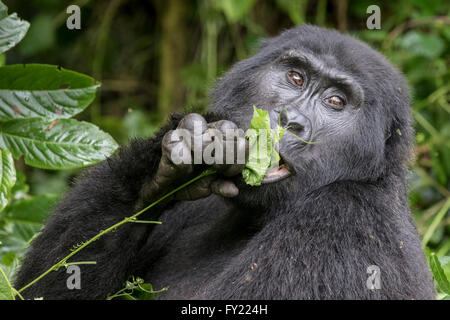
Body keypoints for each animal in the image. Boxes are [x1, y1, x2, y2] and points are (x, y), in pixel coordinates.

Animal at [14, 25, 436, 300]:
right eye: (296, 78)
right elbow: (39, 290)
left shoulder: (347, 218)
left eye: (336, 102)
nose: (290, 119)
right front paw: (166, 168)